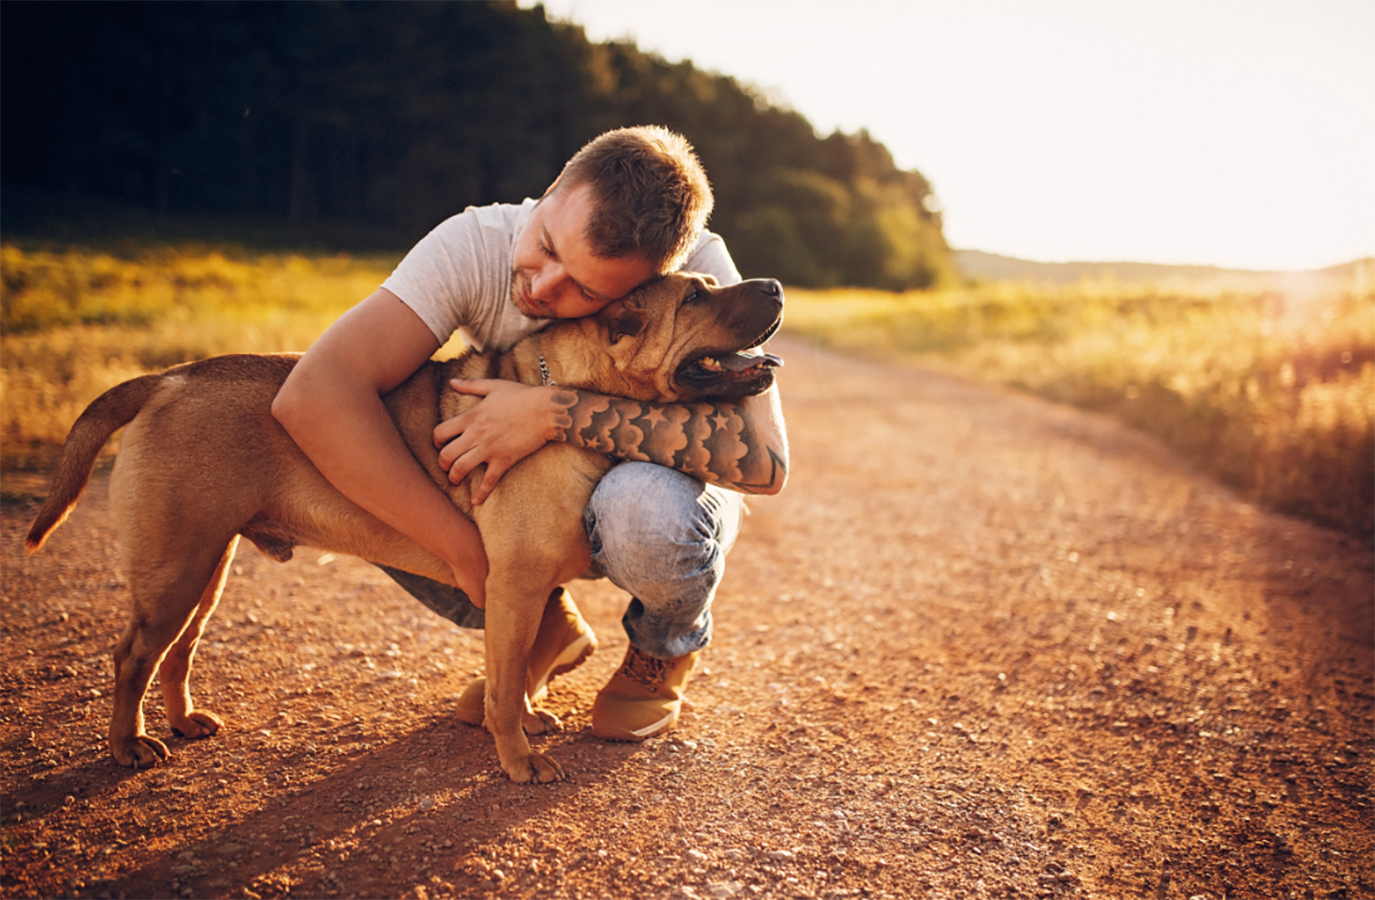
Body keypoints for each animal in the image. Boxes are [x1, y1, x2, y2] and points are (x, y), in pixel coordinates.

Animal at [29, 273, 786, 780]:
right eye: (695, 298)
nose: (776, 285)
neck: (568, 393)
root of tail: (168, 378)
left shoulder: (524, 588)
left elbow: (523, 664)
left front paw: (524, 718)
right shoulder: (514, 585)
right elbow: (508, 676)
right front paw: (517, 755)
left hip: (203, 568)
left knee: (178, 651)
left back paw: (184, 720)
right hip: (177, 568)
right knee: (132, 655)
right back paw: (127, 745)